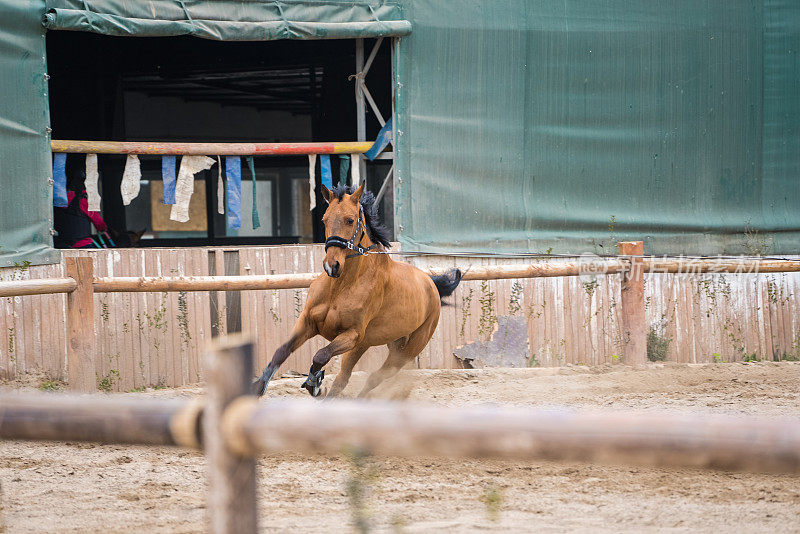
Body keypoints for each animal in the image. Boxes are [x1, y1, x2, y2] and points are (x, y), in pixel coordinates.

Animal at [253, 184, 460, 398]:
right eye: (324, 219)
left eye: (350, 220)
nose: (331, 266)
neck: (340, 287)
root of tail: (431, 283)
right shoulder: (308, 322)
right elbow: (282, 351)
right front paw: (260, 386)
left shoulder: (351, 335)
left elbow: (321, 355)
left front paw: (314, 382)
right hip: (369, 344)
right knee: (343, 378)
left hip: (403, 352)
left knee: (374, 377)